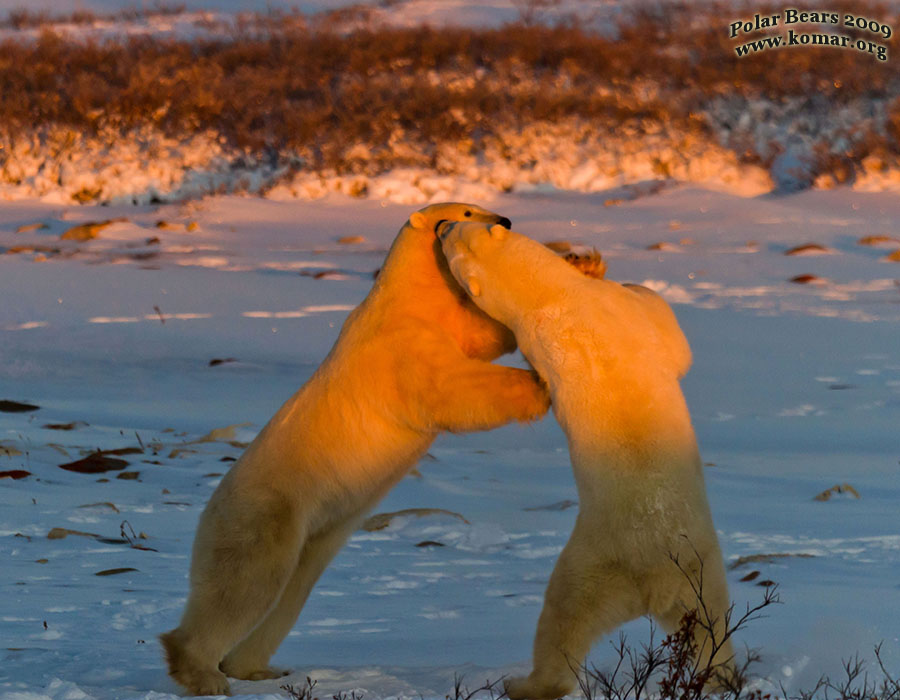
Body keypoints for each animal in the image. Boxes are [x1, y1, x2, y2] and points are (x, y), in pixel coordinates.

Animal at [163, 202, 556, 696]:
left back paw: (256, 669)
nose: (504, 220)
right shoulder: (398, 347)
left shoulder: (441, 321)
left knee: (290, 589)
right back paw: (202, 673)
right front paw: (537, 385)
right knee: (245, 584)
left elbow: (481, 332)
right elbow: (451, 387)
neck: (405, 297)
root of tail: (211, 506)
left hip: (316, 532)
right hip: (268, 511)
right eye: (466, 210)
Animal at [440, 220, 736, 700]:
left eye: (463, 225)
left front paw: (584, 260)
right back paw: (523, 683)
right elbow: (671, 336)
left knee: (709, 630)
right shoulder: (618, 313)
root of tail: (652, 584)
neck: (554, 299)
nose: (441, 225)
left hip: (695, 571)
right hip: (599, 564)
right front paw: (593, 264)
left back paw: (720, 677)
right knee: (563, 619)